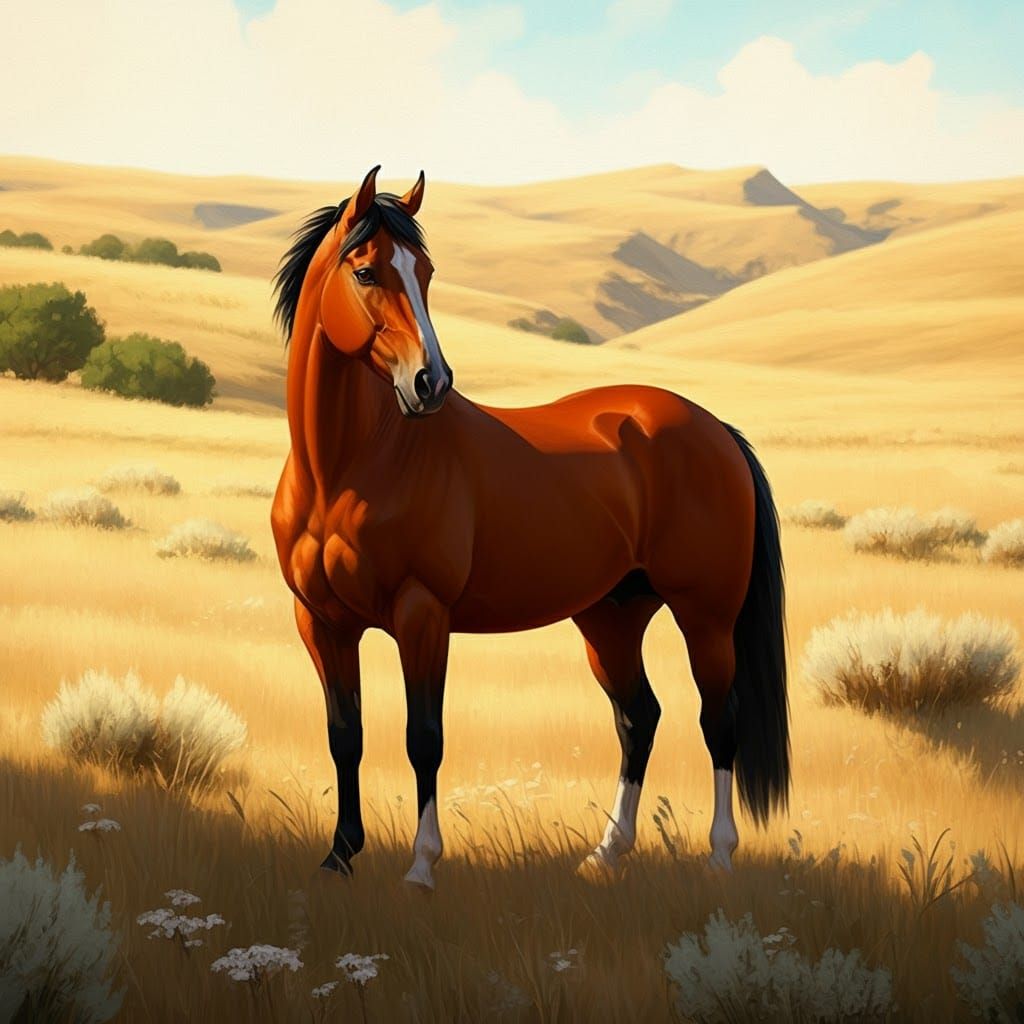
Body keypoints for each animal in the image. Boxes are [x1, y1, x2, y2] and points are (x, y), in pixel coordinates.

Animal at [270, 166, 790, 890]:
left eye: (426, 270)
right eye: (367, 271)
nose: (430, 382)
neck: (349, 466)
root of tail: (715, 430)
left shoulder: (421, 614)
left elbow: (423, 737)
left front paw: (422, 866)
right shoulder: (321, 622)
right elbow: (345, 735)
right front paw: (339, 856)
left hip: (705, 617)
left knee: (719, 720)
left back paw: (718, 855)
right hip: (612, 617)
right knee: (639, 717)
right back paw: (606, 853)